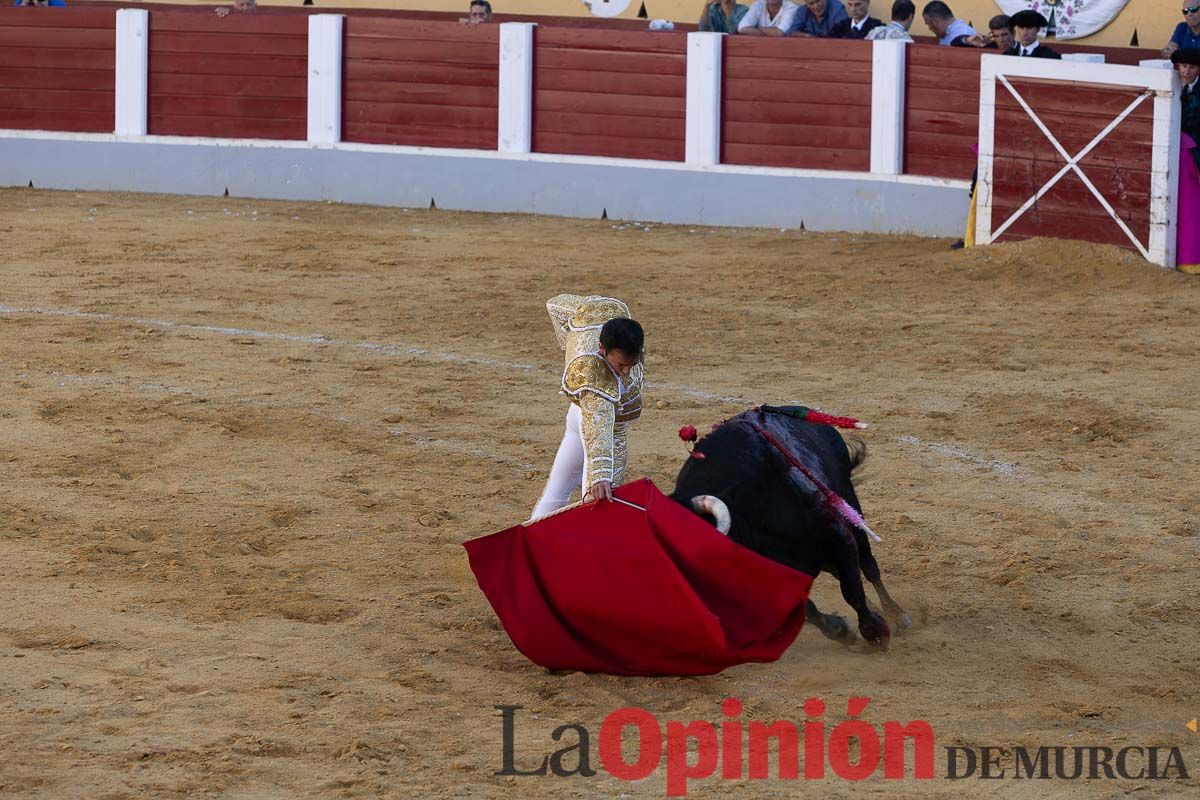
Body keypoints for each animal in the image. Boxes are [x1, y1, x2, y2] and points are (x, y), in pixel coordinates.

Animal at [672, 410, 912, 647]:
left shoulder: (837, 534)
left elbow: (851, 589)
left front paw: (875, 632)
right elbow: (806, 608)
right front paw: (841, 630)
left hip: (848, 501)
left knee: (868, 566)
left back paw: (897, 616)